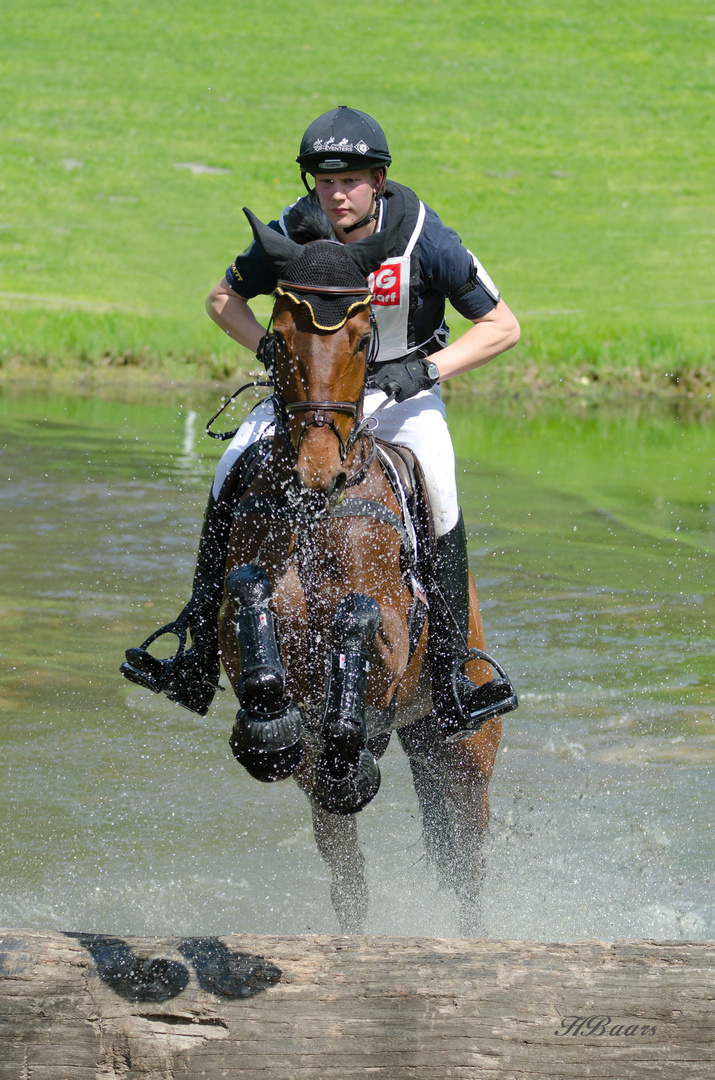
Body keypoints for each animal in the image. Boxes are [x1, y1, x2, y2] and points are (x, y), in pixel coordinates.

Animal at [218, 208, 509, 928]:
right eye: (279, 337)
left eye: (358, 339)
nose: (317, 469)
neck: (314, 509)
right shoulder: (243, 633)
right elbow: (246, 597)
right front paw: (268, 729)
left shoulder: (396, 638)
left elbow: (360, 618)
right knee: (346, 869)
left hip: (461, 748)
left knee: (468, 867)